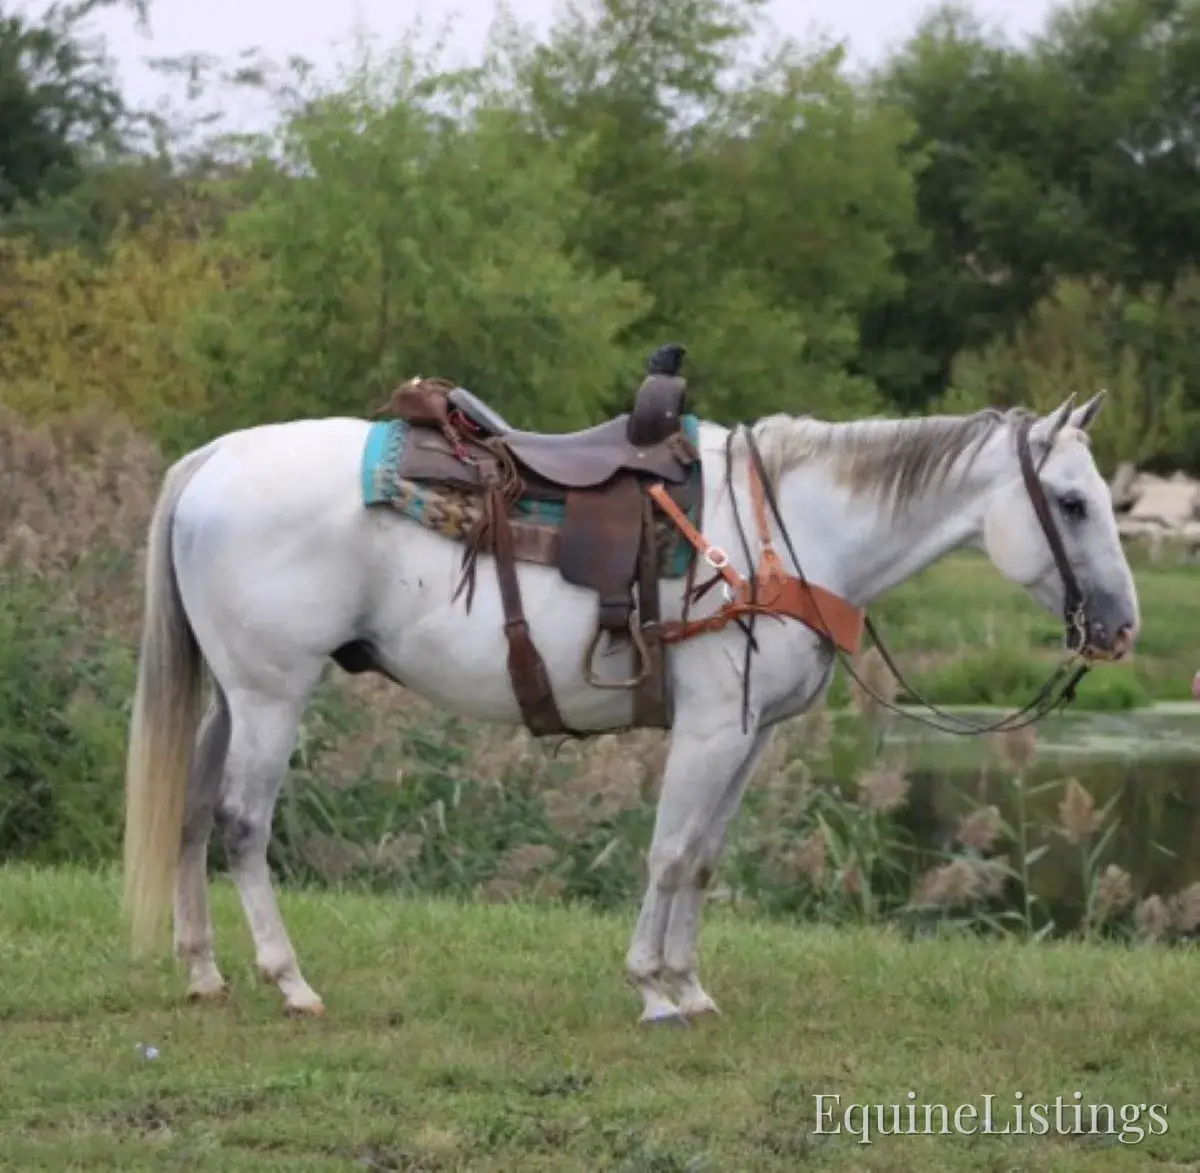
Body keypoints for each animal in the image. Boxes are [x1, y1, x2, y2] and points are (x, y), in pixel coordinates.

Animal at [121, 387, 1138, 1025]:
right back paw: (288, 980)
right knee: (244, 822)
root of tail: (215, 457)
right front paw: (652, 988)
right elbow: (670, 851)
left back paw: (204, 972)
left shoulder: (749, 737)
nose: (1121, 626)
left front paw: (689, 986)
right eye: (1072, 502)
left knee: (194, 811)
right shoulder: (710, 730)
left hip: (230, 695)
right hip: (272, 693)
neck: (788, 536)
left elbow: (703, 859)